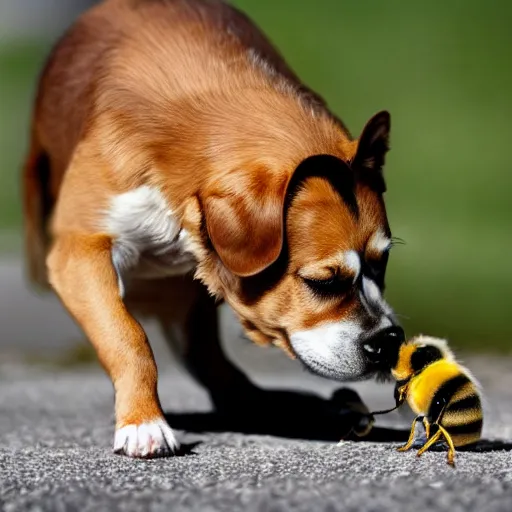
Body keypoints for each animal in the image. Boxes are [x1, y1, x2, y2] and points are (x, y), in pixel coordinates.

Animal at [23, 0, 404, 456]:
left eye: (382, 264)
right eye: (323, 282)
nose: (390, 340)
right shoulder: (79, 250)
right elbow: (127, 335)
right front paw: (143, 421)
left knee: (220, 374)